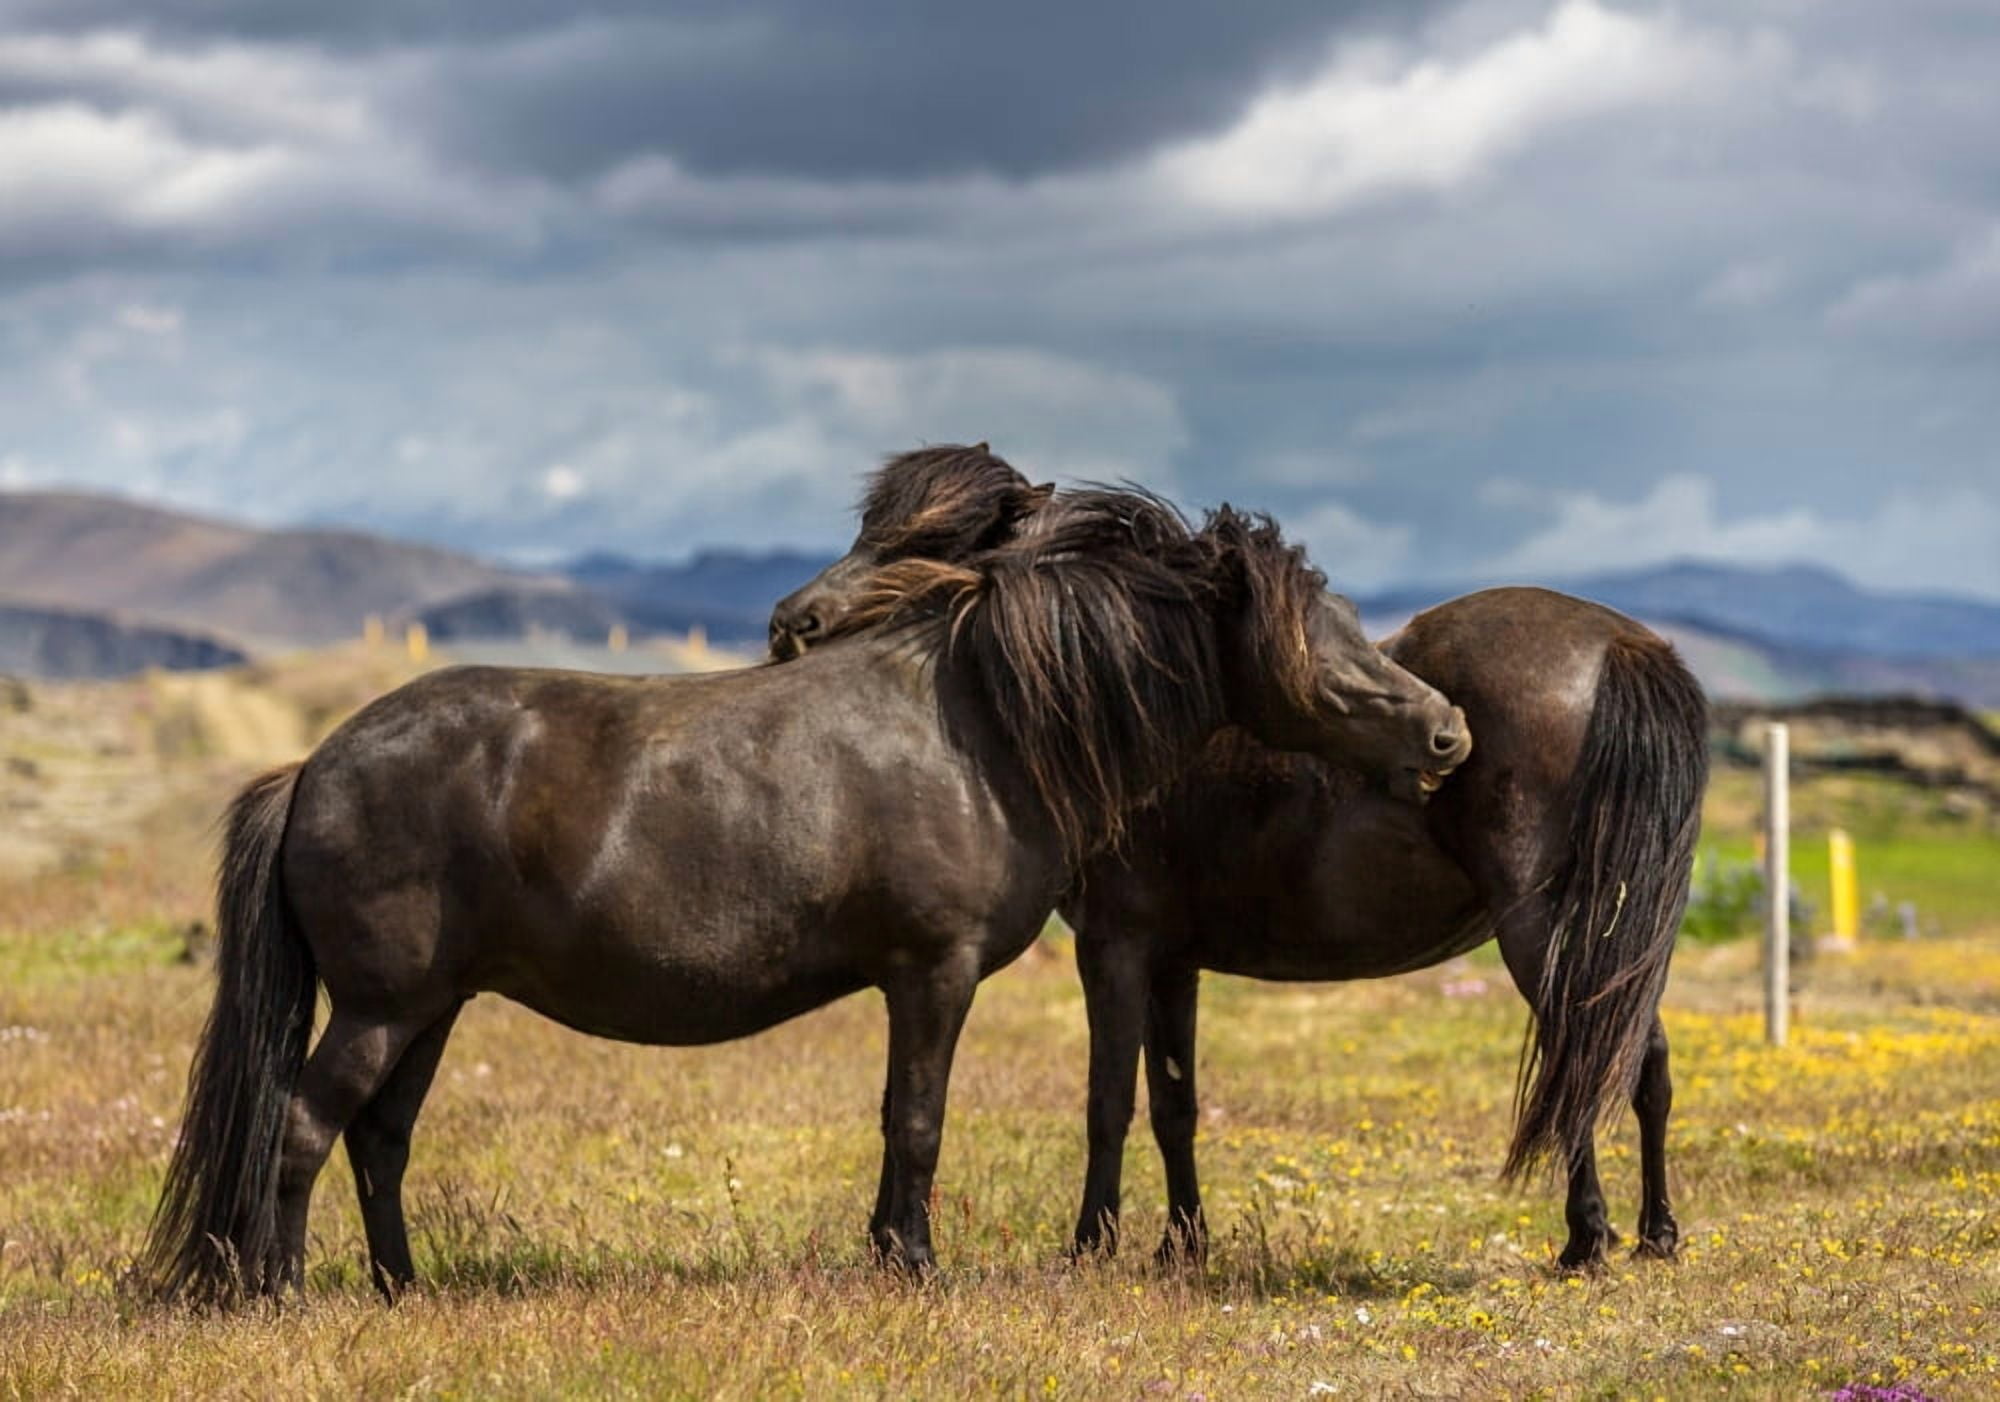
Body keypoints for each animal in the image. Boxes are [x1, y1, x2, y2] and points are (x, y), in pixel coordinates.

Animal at [139, 484, 1471, 1305]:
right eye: (1321, 632)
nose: (1447, 732)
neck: (980, 726)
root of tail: (312, 766)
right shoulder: (932, 972)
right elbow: (919, 1120)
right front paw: (917, 1264)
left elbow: (901, 1120)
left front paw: (888, 1255)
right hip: (380, 1008)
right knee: (303, 1126)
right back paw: (283, 1291)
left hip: (431, 1008)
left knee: (379, 1138)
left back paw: (401, 1288)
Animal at [770, 446, 1709, 1270]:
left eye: (924, 545)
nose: (789, 626)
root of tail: (1619, 646)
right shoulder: (1171, 959)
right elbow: (1174, 1103)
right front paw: (1182, 1245)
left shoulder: (1111, 945)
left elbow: (1108, 1101)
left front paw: (1090, 1246)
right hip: (1617, 927)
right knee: (1642, 1057)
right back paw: (1656, 1234)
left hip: (1541, 926)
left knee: (1584, 1057)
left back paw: (1587, 1241)